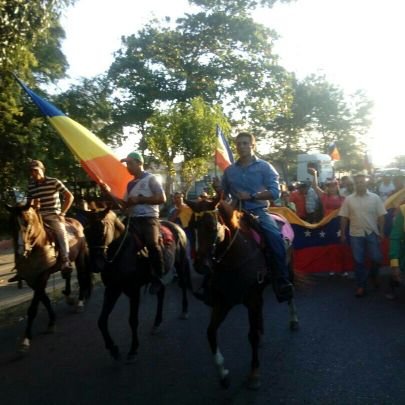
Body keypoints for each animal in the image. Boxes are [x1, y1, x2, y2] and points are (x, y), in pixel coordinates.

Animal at [5, 201, 91, 350]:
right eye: (11, 224)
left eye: (27, 222)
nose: (20, 252)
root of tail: (76, 222)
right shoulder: (31, 279)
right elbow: (44, 300)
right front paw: (52, 321)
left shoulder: (42, 276)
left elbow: (33, 308)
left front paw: (26, 338)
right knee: (68, 274)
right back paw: (69, 297)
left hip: (80, 257)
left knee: (81, 277)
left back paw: (80, 302)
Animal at [82, 210, 191, 362]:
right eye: (85, 231)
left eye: (102, 229)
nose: (95, 265)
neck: (122, 252)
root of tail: (176, 226)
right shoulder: (112, 289)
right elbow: (101, 321)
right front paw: (113, 349)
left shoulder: (134, 291)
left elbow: (133, 320)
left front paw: (133, 349)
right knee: (161, 291)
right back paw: (156, 323)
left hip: (180, 263)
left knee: (184, 285)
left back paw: (184, 311)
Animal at [185, 197, 296, 390]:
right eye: (192, 227)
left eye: (211, 226)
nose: (200, 266)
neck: (235, 257)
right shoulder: (223, 302)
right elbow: (210, 332)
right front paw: (222, 373)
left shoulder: (251, 300)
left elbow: (251, 336)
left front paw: (254, 374)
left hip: (286, 270)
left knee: (290, 296)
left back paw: (293, 319)